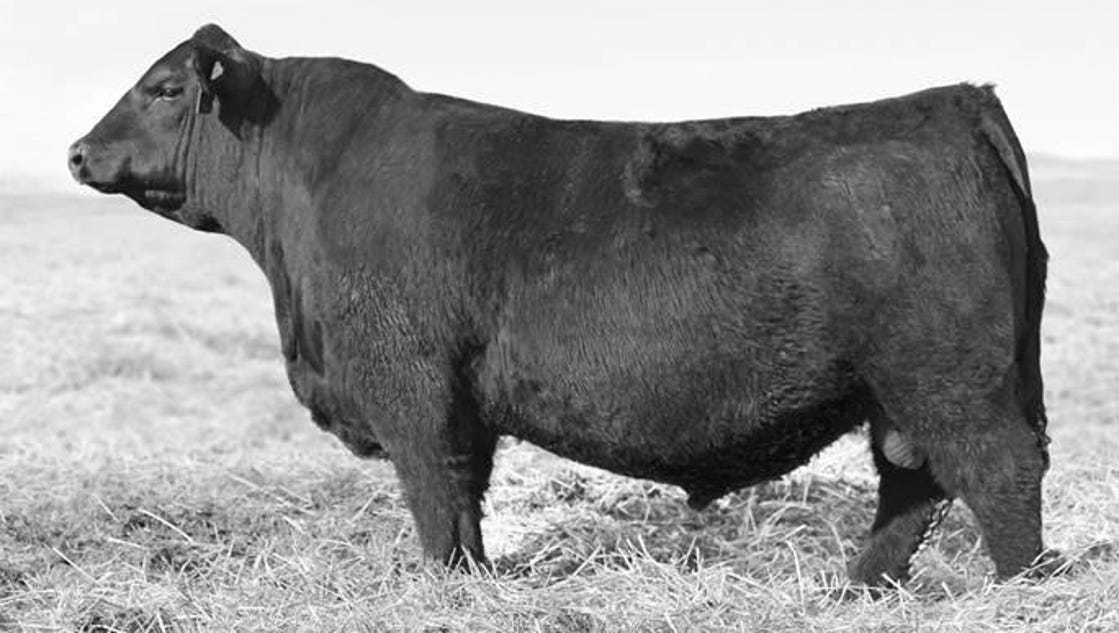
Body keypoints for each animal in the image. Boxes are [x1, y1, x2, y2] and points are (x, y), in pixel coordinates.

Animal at [69, 24, 1057, 586]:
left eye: (164, 88)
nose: (77, 152)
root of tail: (954, 100)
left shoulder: (411, 388)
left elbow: (434, 491)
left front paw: (443, 588)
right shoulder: (460, 405)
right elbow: (464, 500)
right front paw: (472, 583)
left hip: (949, 379)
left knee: (999, 473)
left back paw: (1017, 591)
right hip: (900, 392)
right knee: (913, 487)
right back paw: (854, 588)